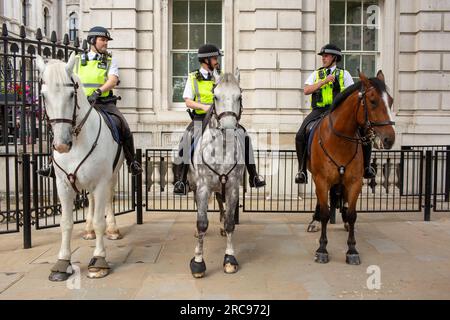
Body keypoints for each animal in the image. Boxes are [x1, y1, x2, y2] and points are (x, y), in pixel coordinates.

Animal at [35, 52, 125, 280]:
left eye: (71, 95)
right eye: (43, 95)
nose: (61, 144)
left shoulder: (101, 181)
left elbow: (101, 219)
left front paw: (99, 260)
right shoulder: (63, 185)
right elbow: (65, 223)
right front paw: (62, 262)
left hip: (112, 175)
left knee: (108, 199)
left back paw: (112, 229)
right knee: (91, 202)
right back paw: (89, 229)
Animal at [188, 69, 248, 278]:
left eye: (239, 96)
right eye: (216, 96)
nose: (229, 128)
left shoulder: (232, 187)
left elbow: (230, 222)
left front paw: (229, 259)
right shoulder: (203, 187)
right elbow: (202, 222)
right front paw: (198, 262)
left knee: (222, 204)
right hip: (195, 185)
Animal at [310, 70, 394, 264]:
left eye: (391, 101)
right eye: (373, 101)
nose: (389, 139)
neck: (339, 140)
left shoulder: (355, 182)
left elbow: (353, 214)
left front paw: (352, 249)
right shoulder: (321, 180)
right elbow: (325, 213)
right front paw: (322, 249)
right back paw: (315, 221)